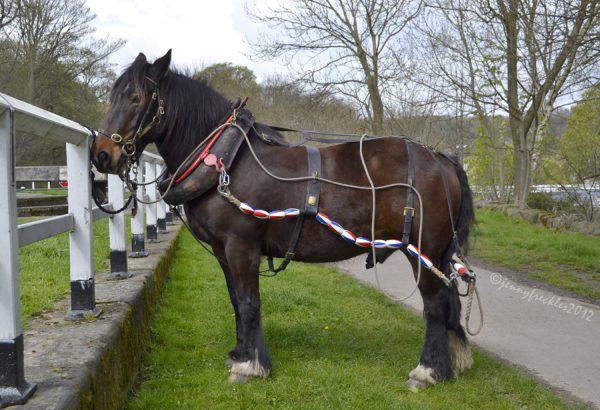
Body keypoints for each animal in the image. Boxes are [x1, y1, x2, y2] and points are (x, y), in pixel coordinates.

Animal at [90, 51, 474, 388]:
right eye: (112, 96)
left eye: (136, 98)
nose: (101, 155)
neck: (225, 162)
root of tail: (441, 158)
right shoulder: (222, 250)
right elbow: (235, 299)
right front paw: (241, 352)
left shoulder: (241, 245)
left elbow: (248, 302)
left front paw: (249, 366)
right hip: (439, 253)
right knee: (450, 300)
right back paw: (451, 363)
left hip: (422, 250)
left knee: (435, 305)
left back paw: (427, 371)